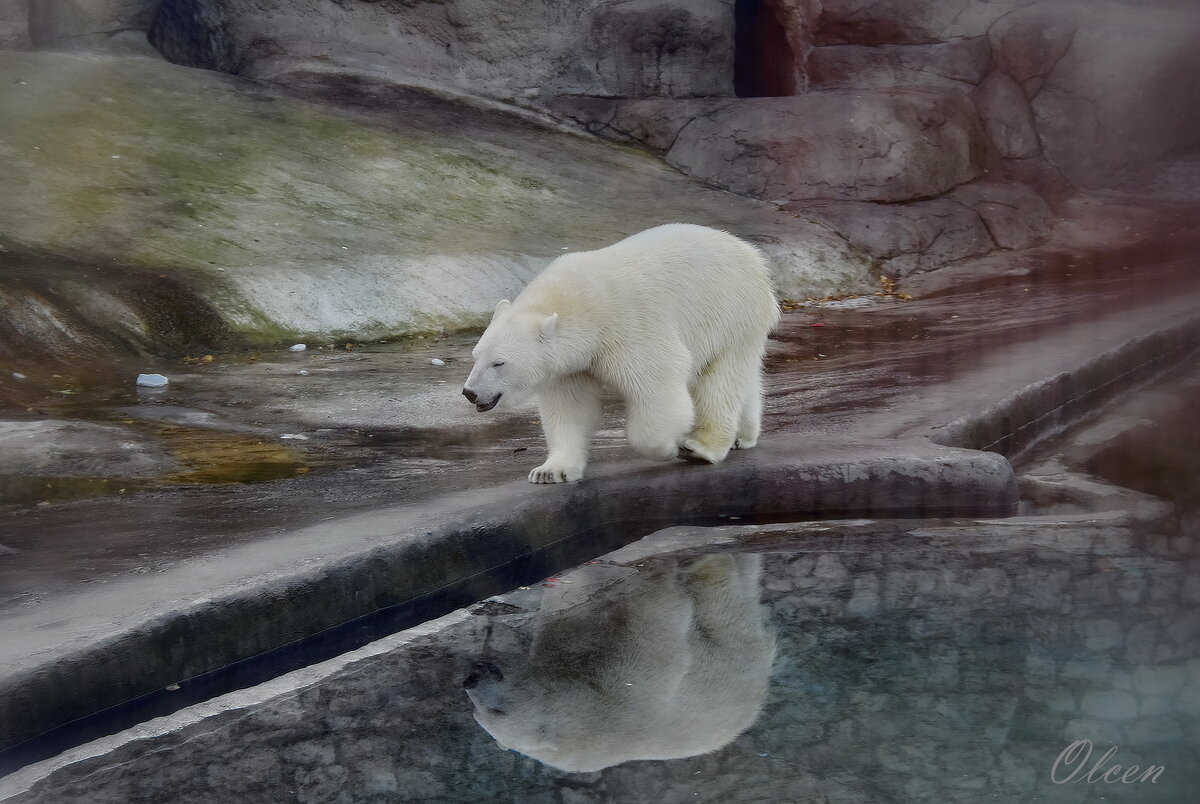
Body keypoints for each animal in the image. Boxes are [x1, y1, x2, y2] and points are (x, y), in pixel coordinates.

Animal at [462, 224, 780, 483]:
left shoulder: (629, 327)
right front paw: (550, 471)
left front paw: (668, 446)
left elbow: (658, 383)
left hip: (729, 310)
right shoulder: (571, 366)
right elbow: (569, 408)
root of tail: (752, 255)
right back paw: (743, 436)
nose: (469, 392)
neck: (581, 304)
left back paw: (701, 446)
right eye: (476, 356)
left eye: (499, 363)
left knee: (719, 378)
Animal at [463, 554, 776, 773]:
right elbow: (656, 631)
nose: (471, 678)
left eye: (496, 710)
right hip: (732, 652)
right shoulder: (624, 694)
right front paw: (658, 577)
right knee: (721, 600)